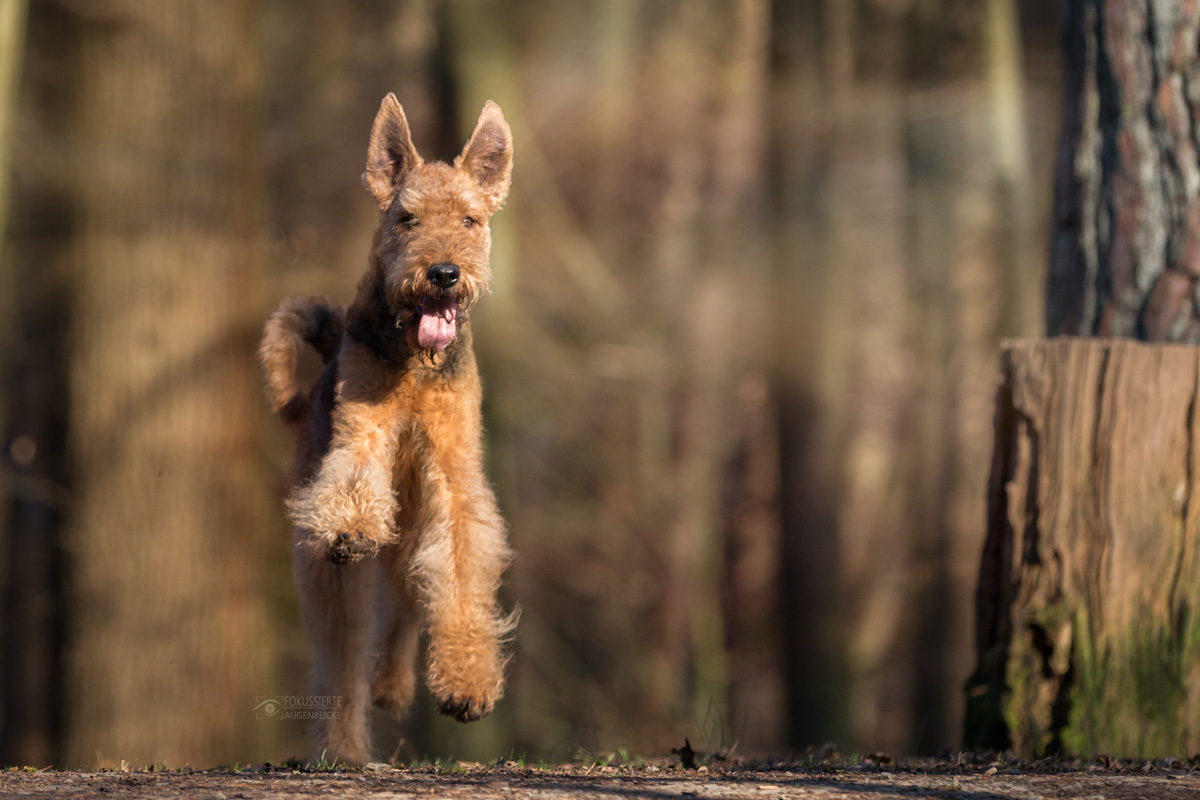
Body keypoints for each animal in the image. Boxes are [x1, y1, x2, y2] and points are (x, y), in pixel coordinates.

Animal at [260, 97, 513, 767]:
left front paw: (467, 686)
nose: (443, 273)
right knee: (343, 658)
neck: (414, 365)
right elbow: (353, 476)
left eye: (471, 219)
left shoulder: (454, 478)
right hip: (328, 575)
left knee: (404, 607)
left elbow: (458, 576)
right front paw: (350, 526)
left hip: (412, 528)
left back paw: (394, 687)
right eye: (407, 218)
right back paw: (345, 745)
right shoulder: (362, 430)